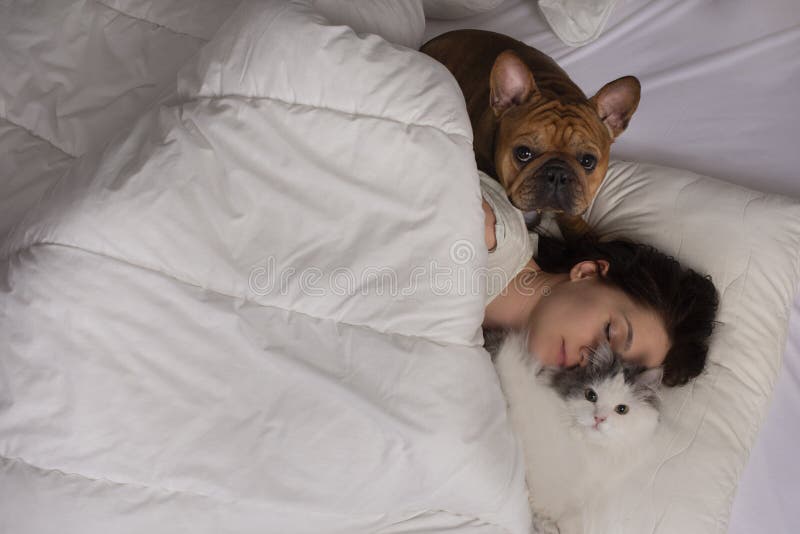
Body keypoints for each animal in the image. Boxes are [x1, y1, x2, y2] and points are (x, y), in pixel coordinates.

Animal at [490, 330, 664, 534]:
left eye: (622, 409)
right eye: (591, 396)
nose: (598, 418)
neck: (584, 447)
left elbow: (569, 515)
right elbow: (546, 501)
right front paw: (547, 524)